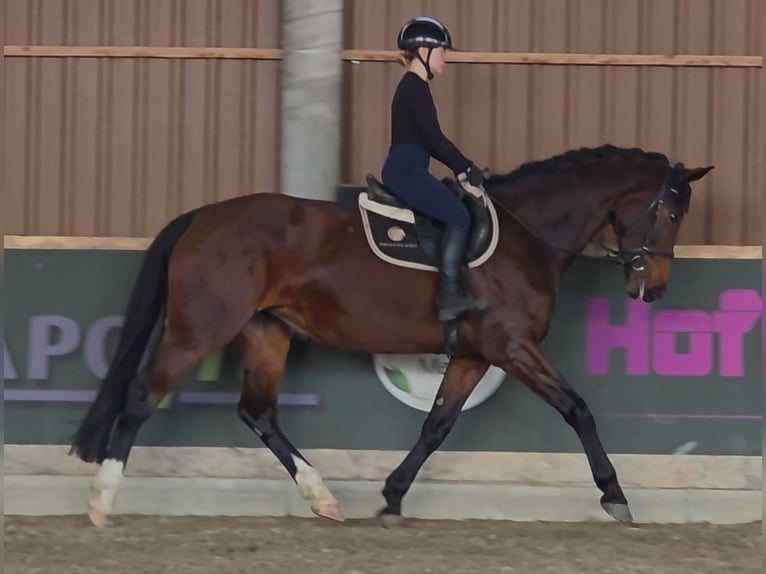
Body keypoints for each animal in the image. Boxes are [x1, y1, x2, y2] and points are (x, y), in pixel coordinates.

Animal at [68, 144, 713, 528]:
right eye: (672, 212)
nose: (653, 288)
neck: (526, 235)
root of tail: (201, 216)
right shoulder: (511, 347)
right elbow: (577, 409)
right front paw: (615, 496)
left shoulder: (475, 354)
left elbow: (436, 425)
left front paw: (392, 497)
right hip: (201, 329)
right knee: (141, 398)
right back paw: (101, 502)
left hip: (266, 331)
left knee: (259, 413)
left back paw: (323, 498)